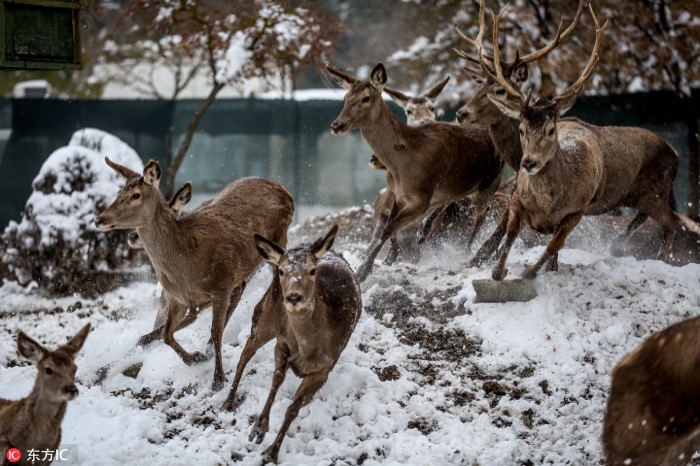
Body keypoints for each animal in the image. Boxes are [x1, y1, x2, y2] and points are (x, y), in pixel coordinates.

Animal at [94, 158, 294, 392]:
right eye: (119, 192)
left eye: (135, 195)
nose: (99, 219)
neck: (186, 267)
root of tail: (283, 189)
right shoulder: (179, 298)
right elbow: (166, 334)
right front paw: (194, 358)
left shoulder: (221, 286)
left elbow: (215, 332)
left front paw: (218, 379)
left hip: (278, 239)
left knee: (277, 274)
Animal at [220, 225, 364, 462]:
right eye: (282, 271)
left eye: (312, 270)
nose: (294, 297)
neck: (308, 349)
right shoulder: (283, 341)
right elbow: (276, 379)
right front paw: (259, 429)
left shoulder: (324, 368)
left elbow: (293, 409)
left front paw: (271, 451)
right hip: (266, 316)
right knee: (247, 350)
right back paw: (228, 401)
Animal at [328, 63, 504, 282]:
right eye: (345, 98)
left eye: (365, 98)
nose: (337, 125)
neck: (403, 165)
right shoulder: (399, 195)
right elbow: (387, 227)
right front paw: (386, 259)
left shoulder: (420, 198)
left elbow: (389, 228)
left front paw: (362, 271)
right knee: (450, 201)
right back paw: (424, 232)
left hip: (490, 182)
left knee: (482, 213)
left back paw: (466, 251)